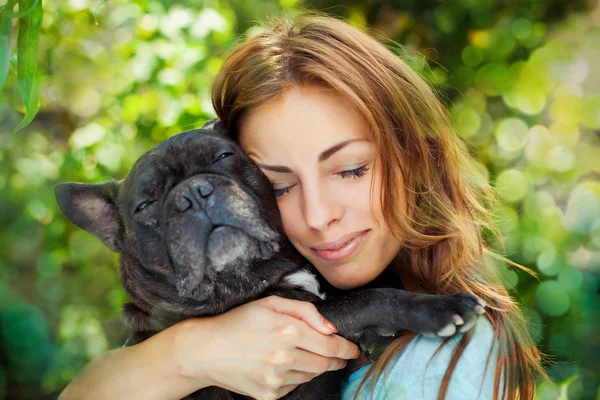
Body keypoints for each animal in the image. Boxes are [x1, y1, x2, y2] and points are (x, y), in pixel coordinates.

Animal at [55, 120, 482, 398]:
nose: (194, 193)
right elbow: (372, 298)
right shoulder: (306, 321)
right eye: (144, 205)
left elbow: (373, 285)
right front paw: (439, 308)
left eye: (224, 155)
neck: (256, 275)